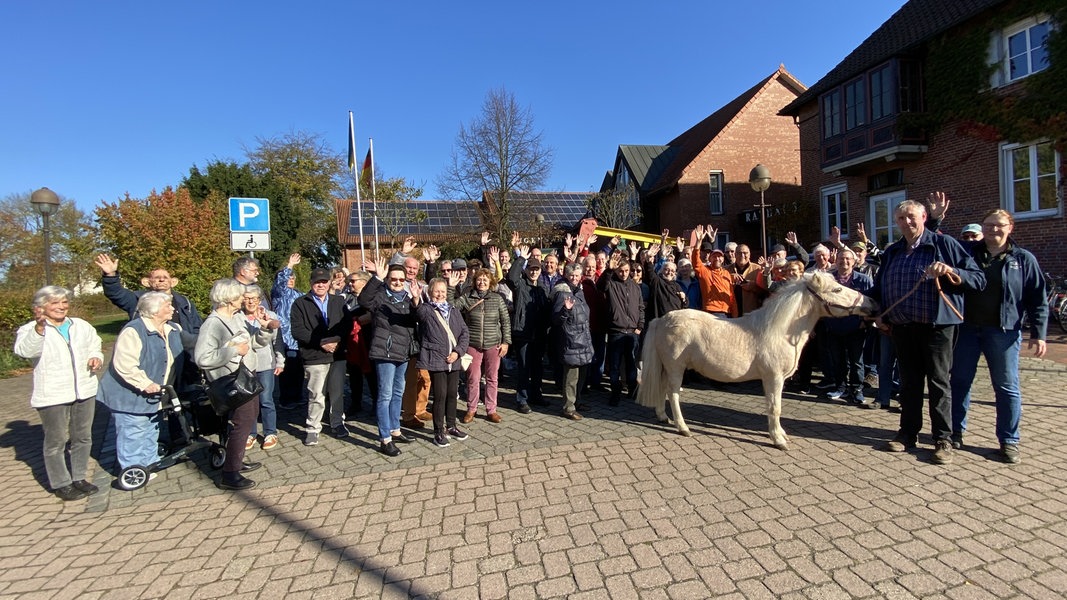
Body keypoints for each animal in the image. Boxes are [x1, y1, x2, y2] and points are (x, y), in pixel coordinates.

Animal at [640, 272, 874, 448]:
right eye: (837, 290)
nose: (871, 302)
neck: (780, 331)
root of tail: (662, 320)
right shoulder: (773, 377)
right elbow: (775, 407)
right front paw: (778, 440)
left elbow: (776, 406)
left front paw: (781, 434)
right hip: (676, 367)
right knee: (673, 393)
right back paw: (683, 427)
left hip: (666, 367)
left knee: (662, 388)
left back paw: (663, 417)